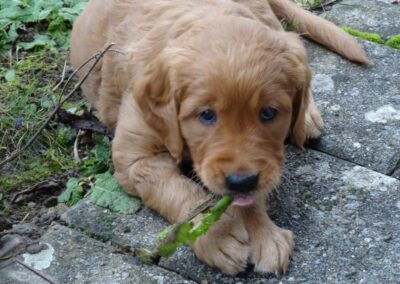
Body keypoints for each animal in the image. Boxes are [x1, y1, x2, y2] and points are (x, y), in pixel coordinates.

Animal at [69, 0, 368, 276]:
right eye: (206, 115)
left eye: (269, 112)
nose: (241, 180)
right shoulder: (136, 159)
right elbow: (180, 191)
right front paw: (217, 236)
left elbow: (247, 195)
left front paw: (264, 234)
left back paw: (306, 119)